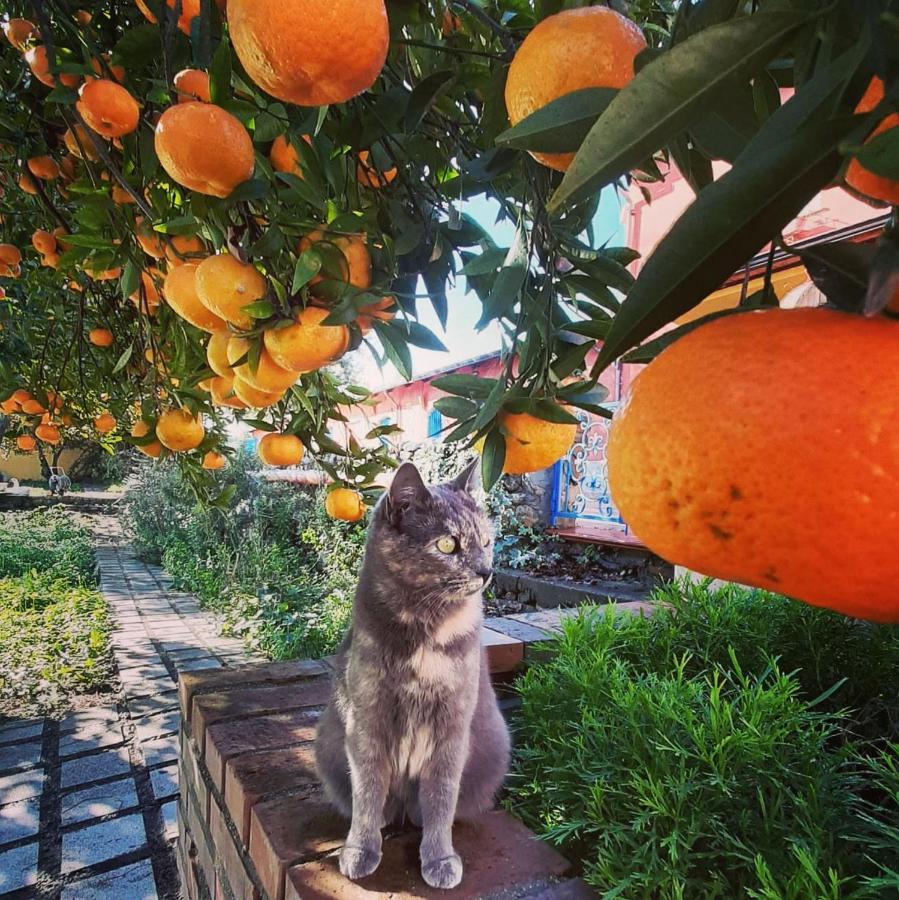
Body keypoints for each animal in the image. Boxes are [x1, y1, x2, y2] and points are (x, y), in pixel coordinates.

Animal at [316, 460, 512, 888]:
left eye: (487, 541)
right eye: (447, 545)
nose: (486, 571)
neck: (424, 629)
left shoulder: (452, 726)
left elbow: (441, 796)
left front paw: (439, 859)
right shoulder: (367, 720)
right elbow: (368, 791)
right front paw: (360, 851)